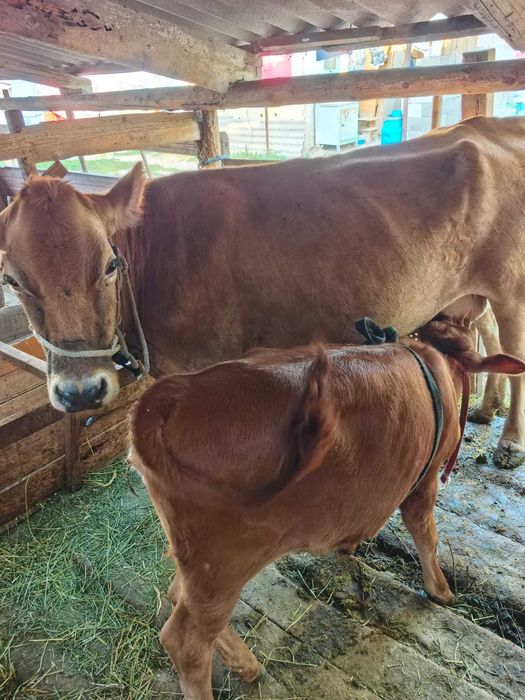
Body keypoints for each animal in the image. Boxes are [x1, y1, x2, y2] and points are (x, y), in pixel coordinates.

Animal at [1, 115, 524, 467]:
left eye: (110, 265)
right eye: (10, 279)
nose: (80, 392)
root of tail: (486, 125)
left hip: (511, 284)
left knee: (514, 347)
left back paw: (509, 441)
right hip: (469, 286)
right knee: (488, 334)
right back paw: (485, 407)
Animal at [130, 319, 525, 700]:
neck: (435, 360)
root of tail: (168, 395)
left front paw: (350, 545)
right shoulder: (424, 483)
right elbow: (427, 534)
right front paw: (440, 590)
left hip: (195, 557)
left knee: (176, 594)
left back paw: (246, 664)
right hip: (221, 565)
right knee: (186, 642)